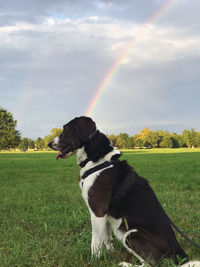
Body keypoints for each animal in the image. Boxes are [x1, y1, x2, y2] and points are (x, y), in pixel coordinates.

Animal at [48, 117, 200, 267]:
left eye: (66, 129)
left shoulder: (97, 213)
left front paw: (94, 261)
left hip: (129, 234)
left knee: (150, 264)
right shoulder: (105, 215)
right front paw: (111, 254)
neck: (98, 160)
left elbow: (95, 243)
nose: (49, 144)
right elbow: (106, 238)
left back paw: (126, 264)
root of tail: (180, 253)